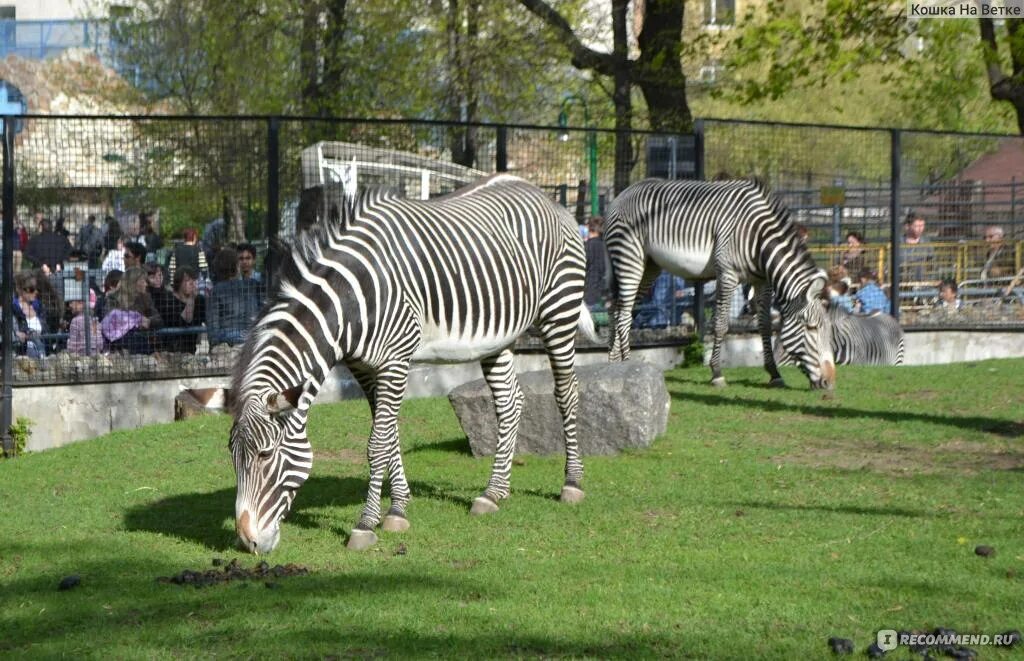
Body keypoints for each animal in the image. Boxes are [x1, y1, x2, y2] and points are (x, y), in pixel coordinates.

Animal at [207, 174, 593, 552]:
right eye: (232, 456)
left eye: (265, 455)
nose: (248, 542)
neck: (351, 302)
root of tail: (544, 195)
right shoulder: (364, 367)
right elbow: (389, 435)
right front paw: (397, 509)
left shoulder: (396, 359)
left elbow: (377, 443)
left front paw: (365, 524)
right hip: (498, 338)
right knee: (510, 403)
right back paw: (494, 493)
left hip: (560, 310)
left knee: (566, 393)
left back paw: (572, 484)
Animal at [602, 179, 835, 390]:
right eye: (811, 328)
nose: (829, 382)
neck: (759, 238)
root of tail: (622, 194)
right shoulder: (727, 275)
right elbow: (721, 324)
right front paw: (717, 374)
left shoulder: (762, 281)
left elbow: (765, 326)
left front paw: (774, 374)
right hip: (630, 258)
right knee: (624, 315)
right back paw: (628, 364)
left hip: (649, 266)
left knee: (617, 310)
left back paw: (614, 365)